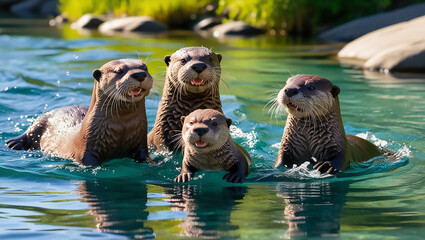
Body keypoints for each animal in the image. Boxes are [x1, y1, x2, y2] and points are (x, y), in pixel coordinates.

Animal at [6, 59, 152, 166]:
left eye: (145, 67)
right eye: (119, 71)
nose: (140, 74)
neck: (122, 128)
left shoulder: (140, 141)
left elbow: (144, 155)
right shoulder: (86, 147)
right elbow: (87, 160)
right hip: (44, 119)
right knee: (33, 127)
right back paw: (13, 143)